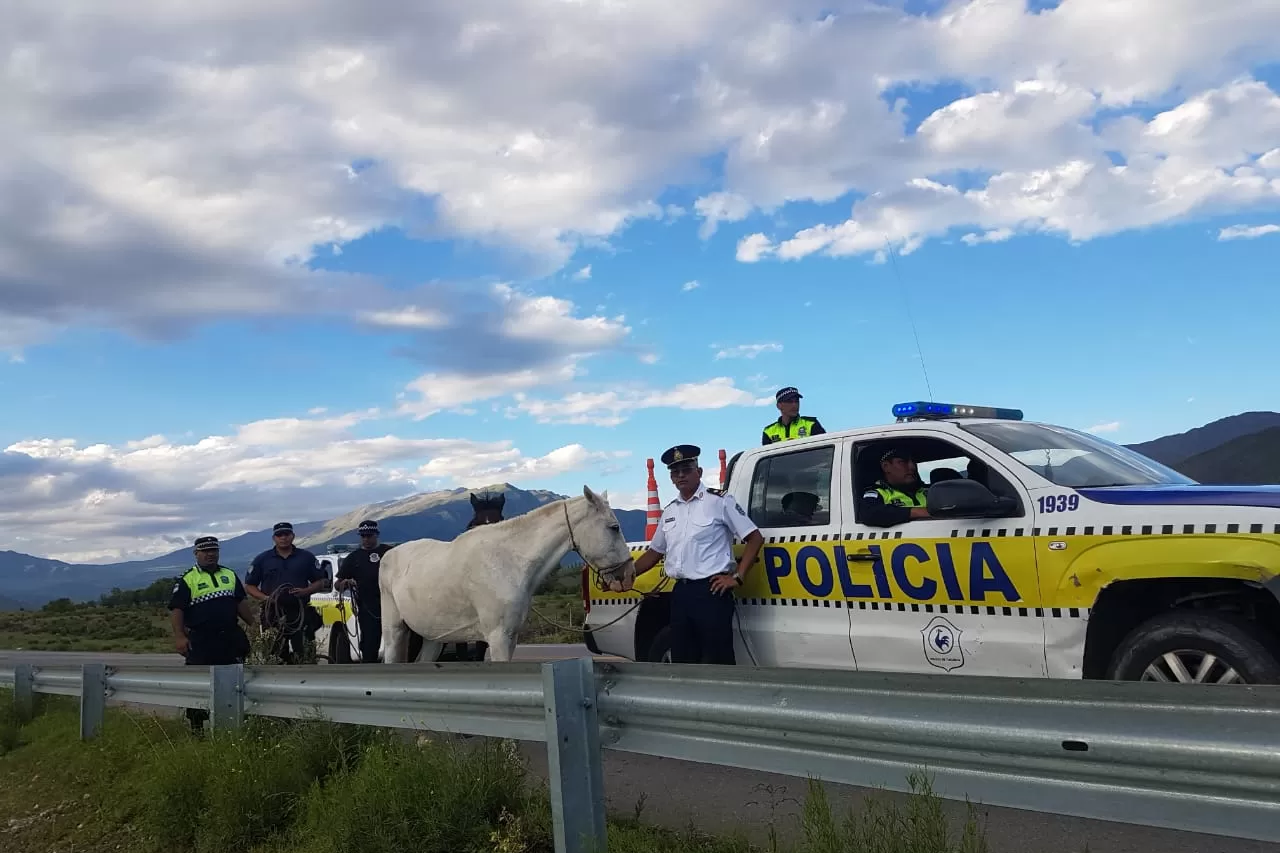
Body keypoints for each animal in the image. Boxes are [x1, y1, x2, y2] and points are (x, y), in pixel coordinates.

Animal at [378, 489, 640, 660]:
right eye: (614, 527)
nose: (629, 573)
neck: (507, 562)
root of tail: (389, 554)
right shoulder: (497, 637)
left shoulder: (509, 638)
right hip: (394, 631)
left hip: (433, 638)